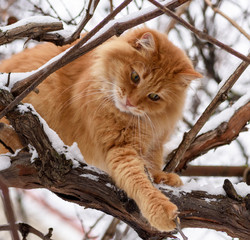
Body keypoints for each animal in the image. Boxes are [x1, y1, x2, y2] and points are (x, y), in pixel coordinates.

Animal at [0, 27, 202, 231]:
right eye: (135, 77)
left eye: (154, 96)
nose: (130, 102)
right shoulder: (119, 148)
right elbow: (139, 181)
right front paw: (162, 211)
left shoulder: (154, 141)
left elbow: (152, 165)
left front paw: (162, 177)